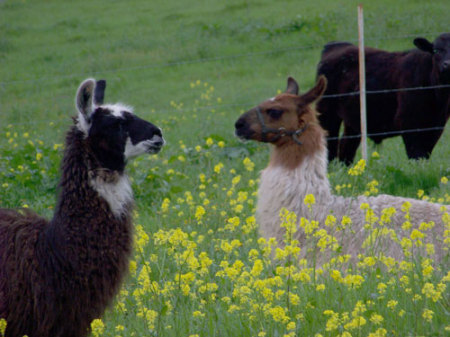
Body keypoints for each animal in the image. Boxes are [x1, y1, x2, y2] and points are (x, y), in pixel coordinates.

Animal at [316, 33, 450, 164]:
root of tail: (337, 45)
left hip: (353, 119)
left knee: (346, 145)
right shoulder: (408, 123)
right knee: (330, 142)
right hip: (327, 112)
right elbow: (416, 155)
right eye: (436, 50)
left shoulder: (436, 127)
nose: (447, 64)